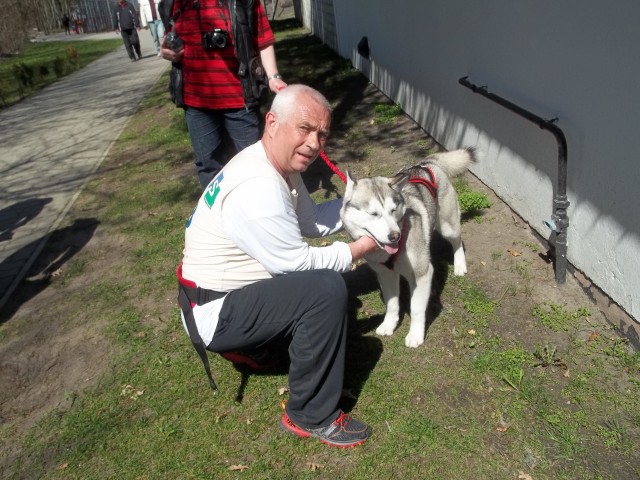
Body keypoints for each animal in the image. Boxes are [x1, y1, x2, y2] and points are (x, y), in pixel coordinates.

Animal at [340, 148, 476, 347]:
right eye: (373, 214)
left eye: (393, 210)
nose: (394, 236)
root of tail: (426, 163)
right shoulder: (385, 273)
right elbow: (392, 304)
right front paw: (389, 324)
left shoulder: (422, 274)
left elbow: (417, 309)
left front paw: (415, 335)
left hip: (447, 226)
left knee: (457, 241)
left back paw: (459, 265)